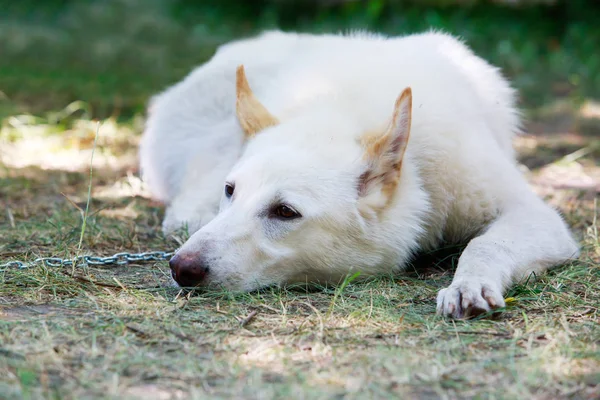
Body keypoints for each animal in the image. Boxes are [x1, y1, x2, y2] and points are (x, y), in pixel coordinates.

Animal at [138, 29, 580, 318]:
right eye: (230, 191)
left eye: (285, 212)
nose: (181, 268)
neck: (343, 109)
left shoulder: (534, 216)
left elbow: (485, 245)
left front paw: (468, 284)